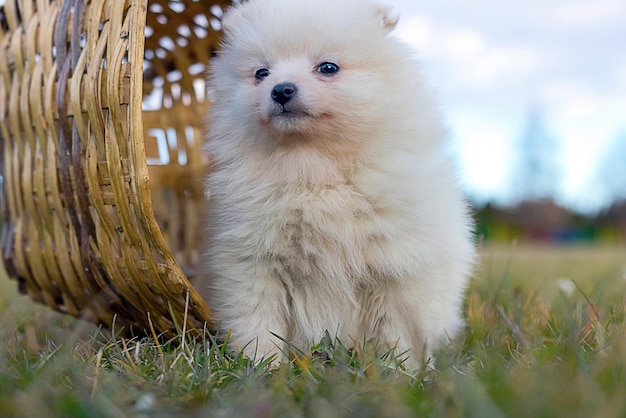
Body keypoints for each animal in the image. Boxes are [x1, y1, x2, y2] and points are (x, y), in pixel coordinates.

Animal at [197, 0, 476, 370]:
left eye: (328, 68)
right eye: (261, 73)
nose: (281, 89)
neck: (314, 168)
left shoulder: (397, 265)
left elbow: (397, 329)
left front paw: (400, 371)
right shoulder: (250, 260)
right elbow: (258, 318)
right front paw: (263, 367)